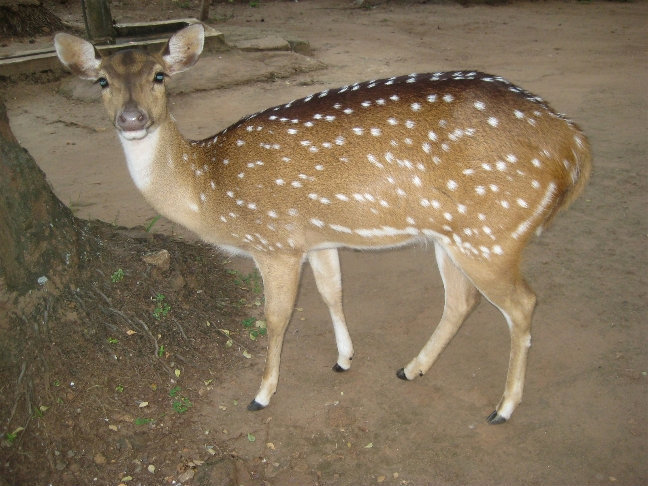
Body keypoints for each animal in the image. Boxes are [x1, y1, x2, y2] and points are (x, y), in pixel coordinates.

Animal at [55, 24, 588, 424]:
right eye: (102, 81)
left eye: (160, 76)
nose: (132, 119)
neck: (210, 189)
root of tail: (575, 143)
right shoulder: (316, 239)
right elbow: (333, 292)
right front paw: (344, 358)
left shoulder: (274, 242)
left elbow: (275, 317)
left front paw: (261, 394)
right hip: (454, 236)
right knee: (462, 300)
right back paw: (411, 368)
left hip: (493, 233)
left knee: (522, 303)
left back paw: (503, 407)